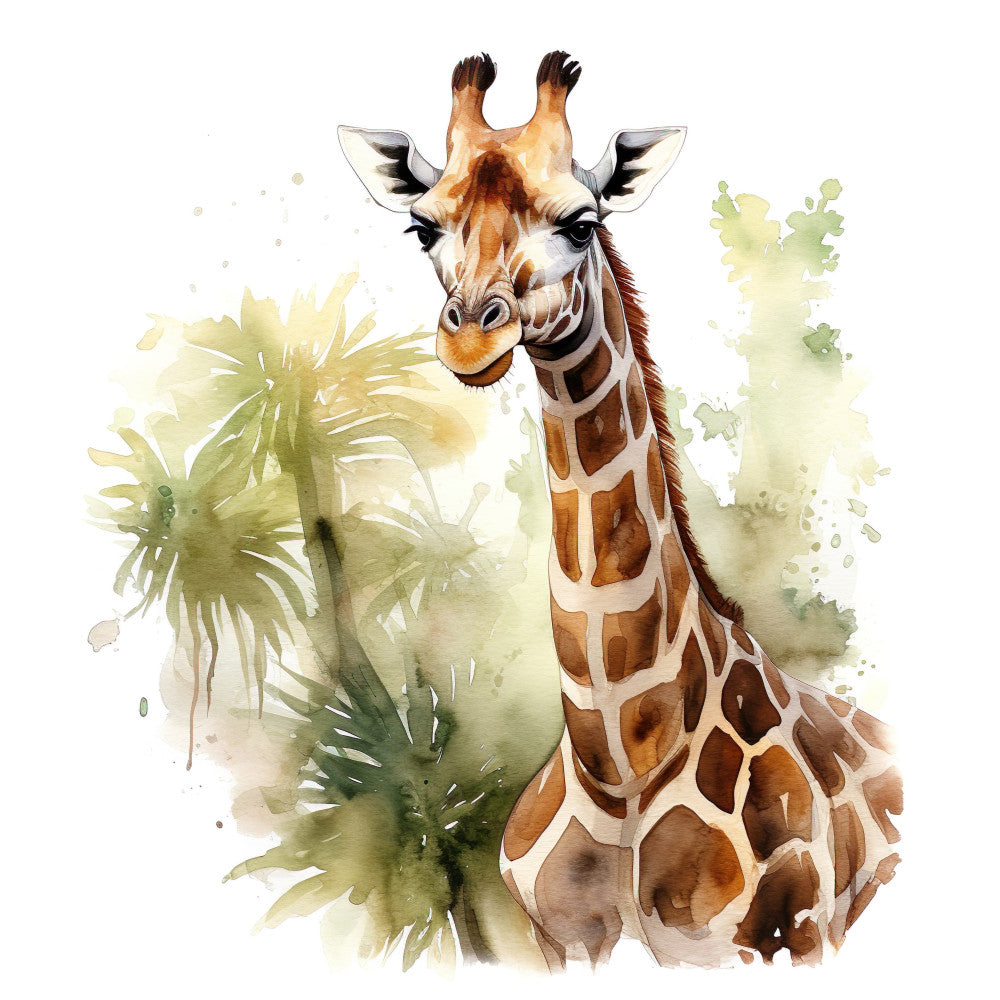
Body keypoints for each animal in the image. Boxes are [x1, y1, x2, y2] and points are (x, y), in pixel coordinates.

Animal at [339, 51, 902, 969]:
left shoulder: (785, 938)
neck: (622, 762)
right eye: (423, 227)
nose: (470, 336)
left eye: (579, 221)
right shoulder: (563, 941)